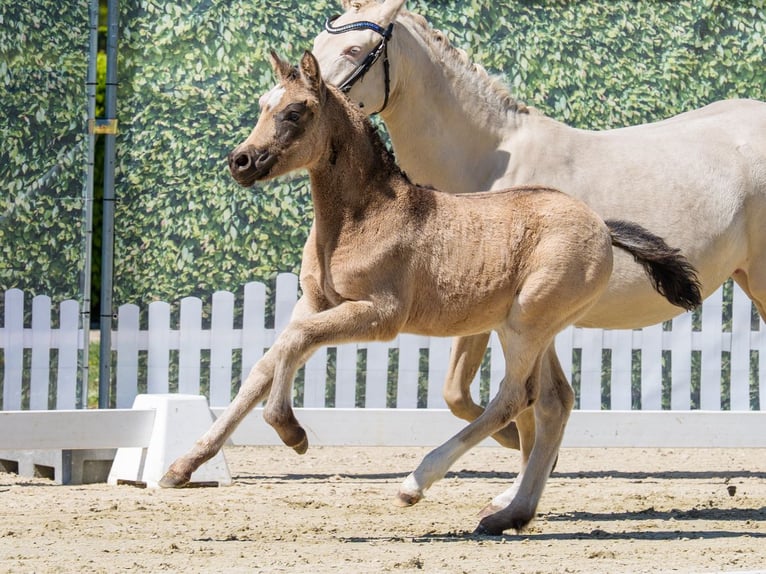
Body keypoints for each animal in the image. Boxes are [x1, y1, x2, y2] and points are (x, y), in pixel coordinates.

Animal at [160, 50, 701, 534]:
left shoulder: (379, 315)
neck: (362, 218)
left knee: (513, 398)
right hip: (535, 327)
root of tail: (602, 226)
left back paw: (416, 483)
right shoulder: (313, 302)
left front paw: (292, 432)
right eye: (261, 104)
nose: (241, 161)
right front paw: (183, 466)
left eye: (294, 111)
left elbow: (293, 346)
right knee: (552, 402)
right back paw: (509, 514)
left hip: (525, 323)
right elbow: (262, 368)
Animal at [311, 0, 766, 455]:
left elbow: (481, 396)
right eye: (316, 45)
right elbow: (518, 400)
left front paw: (514, 446)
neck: (489, 166)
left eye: (355, 49)